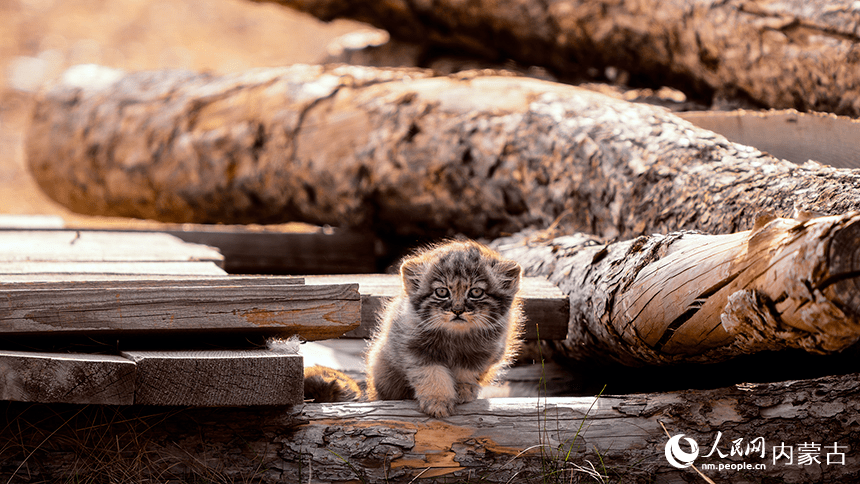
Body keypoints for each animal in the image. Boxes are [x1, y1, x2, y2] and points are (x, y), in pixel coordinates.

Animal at [364, 240, 524, 418]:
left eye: (476, 292)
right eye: (441, 292)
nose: (457, 310)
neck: (455, 336)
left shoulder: (482, 353)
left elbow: (467, 373)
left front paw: (463, 390)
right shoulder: (416, 351)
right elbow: (433, 376)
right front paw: (438, 401)